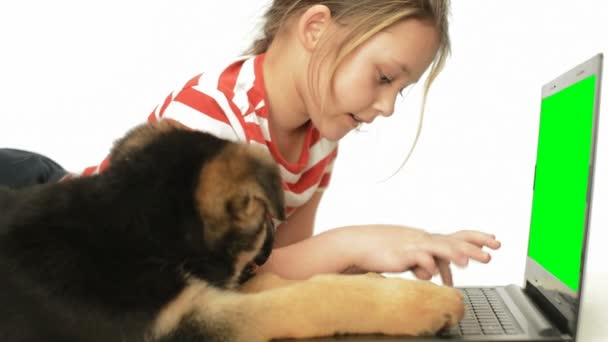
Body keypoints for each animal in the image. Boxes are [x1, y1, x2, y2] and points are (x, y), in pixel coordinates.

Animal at [0, 121, 464, 342]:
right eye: (263, 219)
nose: (273, 241)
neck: (132, 229)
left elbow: (281, 282)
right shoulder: (180, 326)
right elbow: (311, 297)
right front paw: (425, 302)